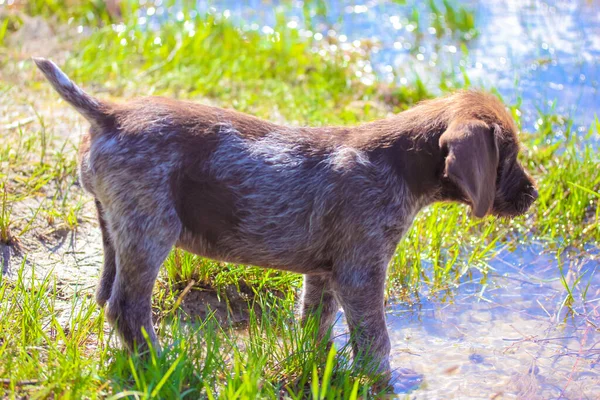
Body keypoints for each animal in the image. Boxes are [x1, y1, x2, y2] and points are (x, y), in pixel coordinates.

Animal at [34, 56, 540, 378]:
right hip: (150, 232)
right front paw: (381, 381)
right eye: (509, 157)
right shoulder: (361, 272)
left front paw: (321, 364)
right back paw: (163, 366)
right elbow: (376, 340)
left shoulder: (326, 272)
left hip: (113, 228)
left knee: (106, 296)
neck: (397, 162)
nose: (534, 196)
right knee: (128, 307)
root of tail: (109, 114)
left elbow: (316, 322)